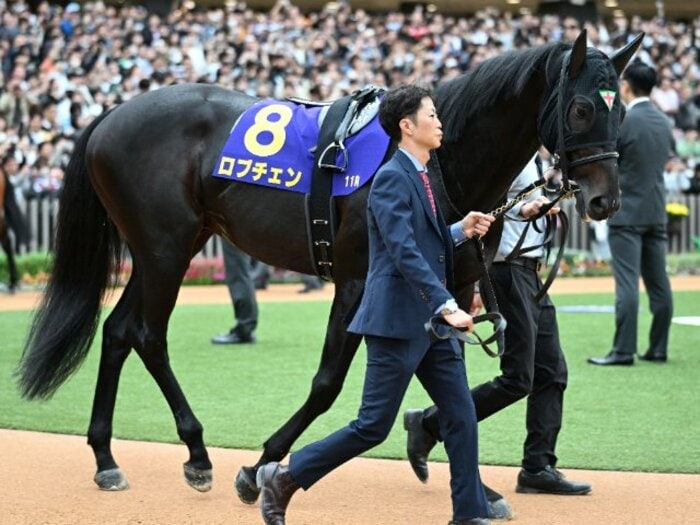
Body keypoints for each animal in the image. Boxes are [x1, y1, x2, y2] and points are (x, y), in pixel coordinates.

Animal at [17, 31, 641, 498]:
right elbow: (327, 383)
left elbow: (456, 384)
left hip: (165, 250)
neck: (437, 159)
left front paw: (468, 477)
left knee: (119, 330)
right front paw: (263, 463)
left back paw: (106, 457)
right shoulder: (358, 280)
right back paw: (195, 451)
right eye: (582, 108)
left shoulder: (457, 286)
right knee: (147, 334)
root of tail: (111, 114)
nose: (605, 201)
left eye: (623, 112)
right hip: (165, 249)